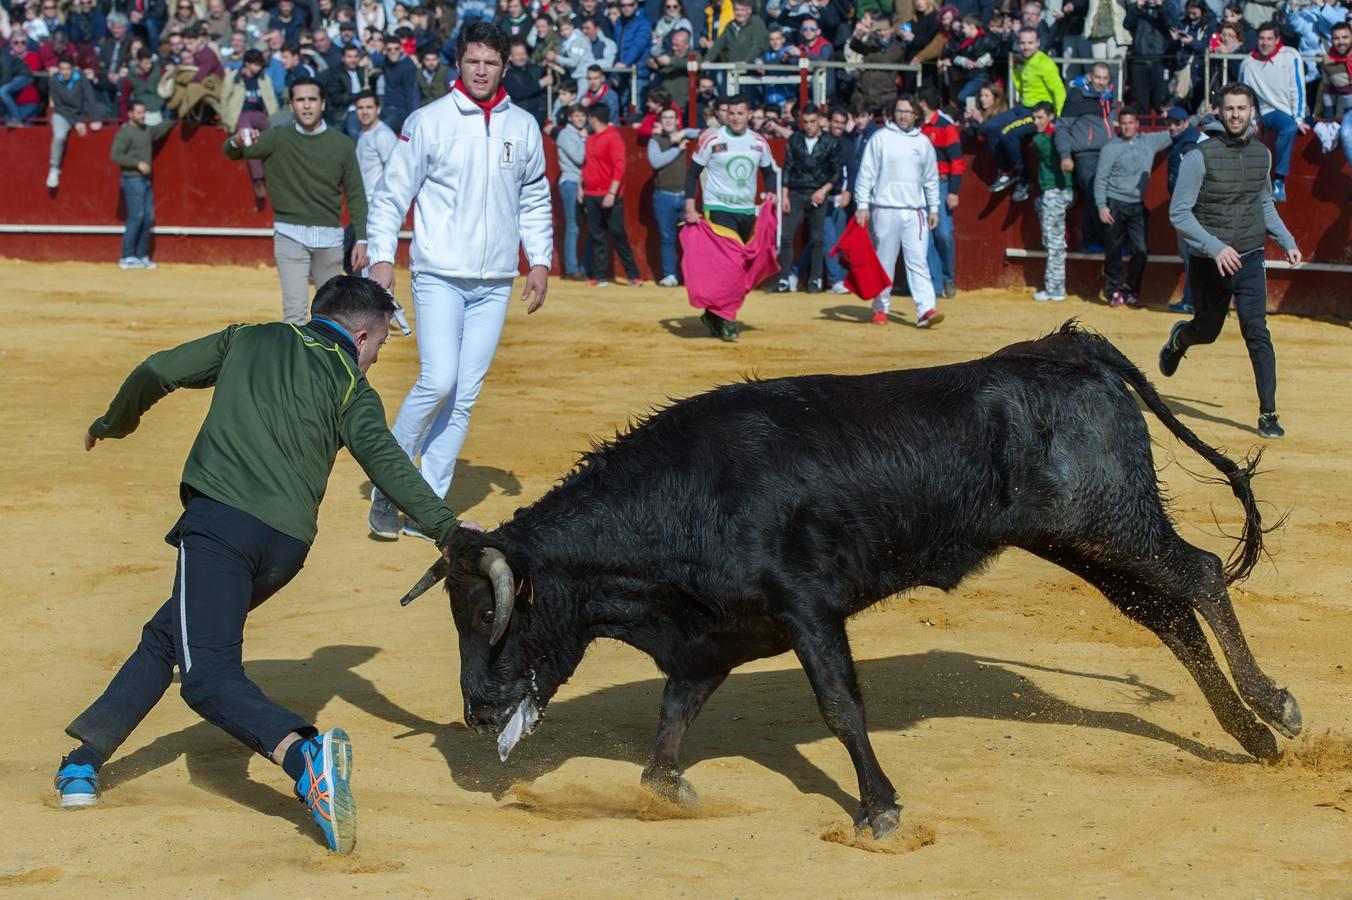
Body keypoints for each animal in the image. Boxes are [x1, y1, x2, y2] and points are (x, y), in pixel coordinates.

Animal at [397, 322, 1297, 832]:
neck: (687, 497)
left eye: (490, 616)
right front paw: (665, 791)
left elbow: (840, 706)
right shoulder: (712, 637)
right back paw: (1249, 735)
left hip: (1107, 518)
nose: (478, 713)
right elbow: (674, 716)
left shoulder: (807, 610)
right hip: (1082, 539)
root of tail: (1066, 347)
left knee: (1200, 574)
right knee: (1166, 614)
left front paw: (881, 809)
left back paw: (1275, 706)